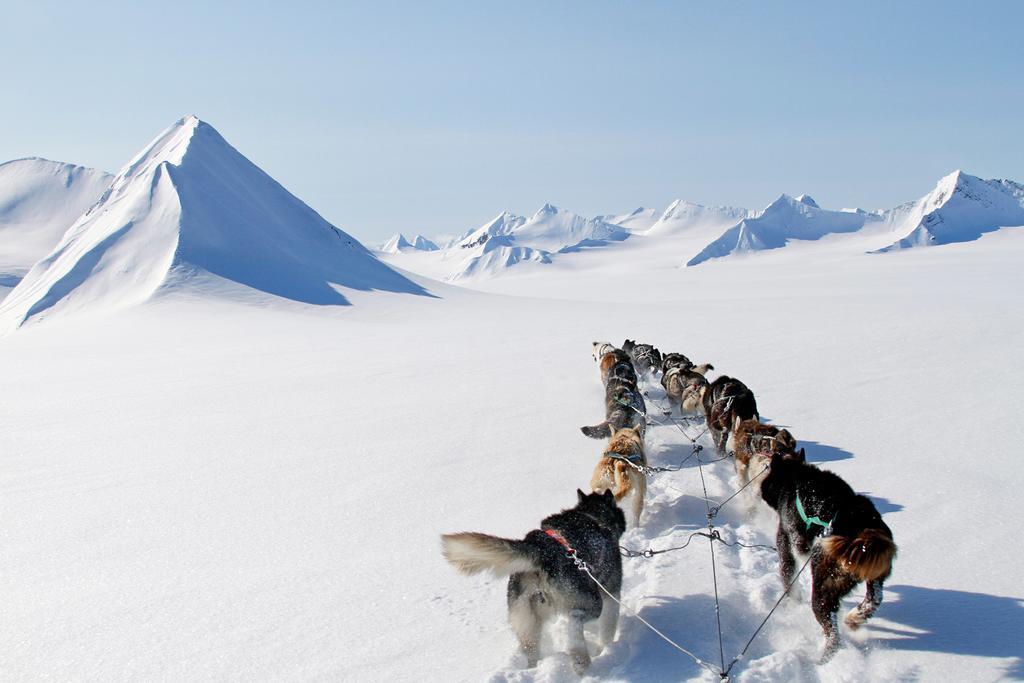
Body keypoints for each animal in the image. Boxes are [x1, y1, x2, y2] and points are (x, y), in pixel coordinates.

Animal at [761, 454, 897, 663]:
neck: (794, 477)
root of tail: (863, 531)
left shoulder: (788, 538)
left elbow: (788, 575)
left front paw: (792, 602)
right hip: (873, 578)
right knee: (874, 599)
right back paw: (854, 618)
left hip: (823, 588)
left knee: (832, 633)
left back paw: (826, 658)